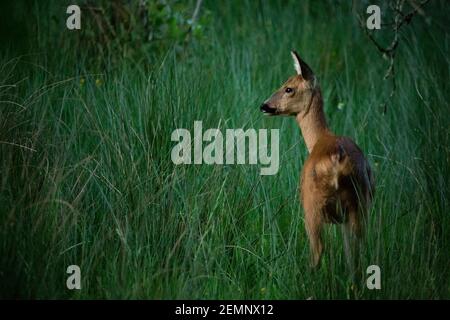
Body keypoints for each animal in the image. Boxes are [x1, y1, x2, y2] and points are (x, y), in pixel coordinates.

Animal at [258, 51, 374, 268]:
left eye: (289, 88)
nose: (264, 106)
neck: (319, 138)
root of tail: (338, 159)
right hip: (359, 203)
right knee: (357, 251)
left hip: (311, 205)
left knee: (318, 250)